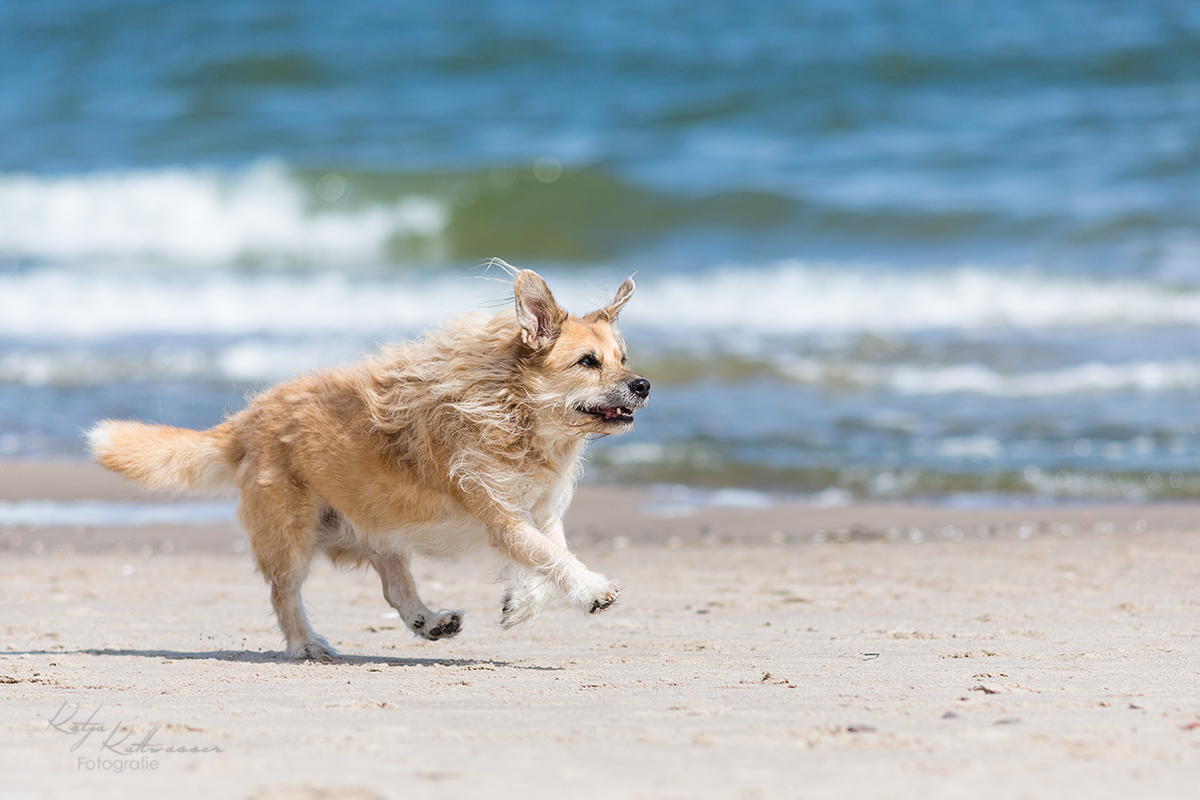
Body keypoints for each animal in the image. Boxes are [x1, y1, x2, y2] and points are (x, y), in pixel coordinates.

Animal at [87, 268, 648, 657]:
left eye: (622, 358)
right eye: (587, 362)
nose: (643, 385)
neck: (520, 419)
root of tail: (246, 420)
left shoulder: (541, 513)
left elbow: (549, 556)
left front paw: (523, 603)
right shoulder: (500, 514)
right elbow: (550, 558)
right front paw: (592, 590)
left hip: (378, 525)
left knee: (394, 585)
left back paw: (428, 619)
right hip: (289, 535)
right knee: (283, 593)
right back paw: (306, 644)